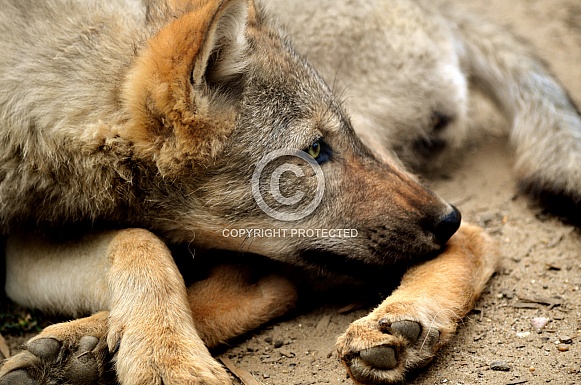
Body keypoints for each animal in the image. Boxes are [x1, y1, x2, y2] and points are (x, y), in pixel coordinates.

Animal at [0, 0, 576, 384]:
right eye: (315, 149)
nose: (445, 219)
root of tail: (439, 7)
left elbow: (144, 243)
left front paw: (167, 360)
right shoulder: (20, 248)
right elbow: (140, 241)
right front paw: (158, 353)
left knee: (478, 238)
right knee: (268, 283)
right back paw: (77, 351)